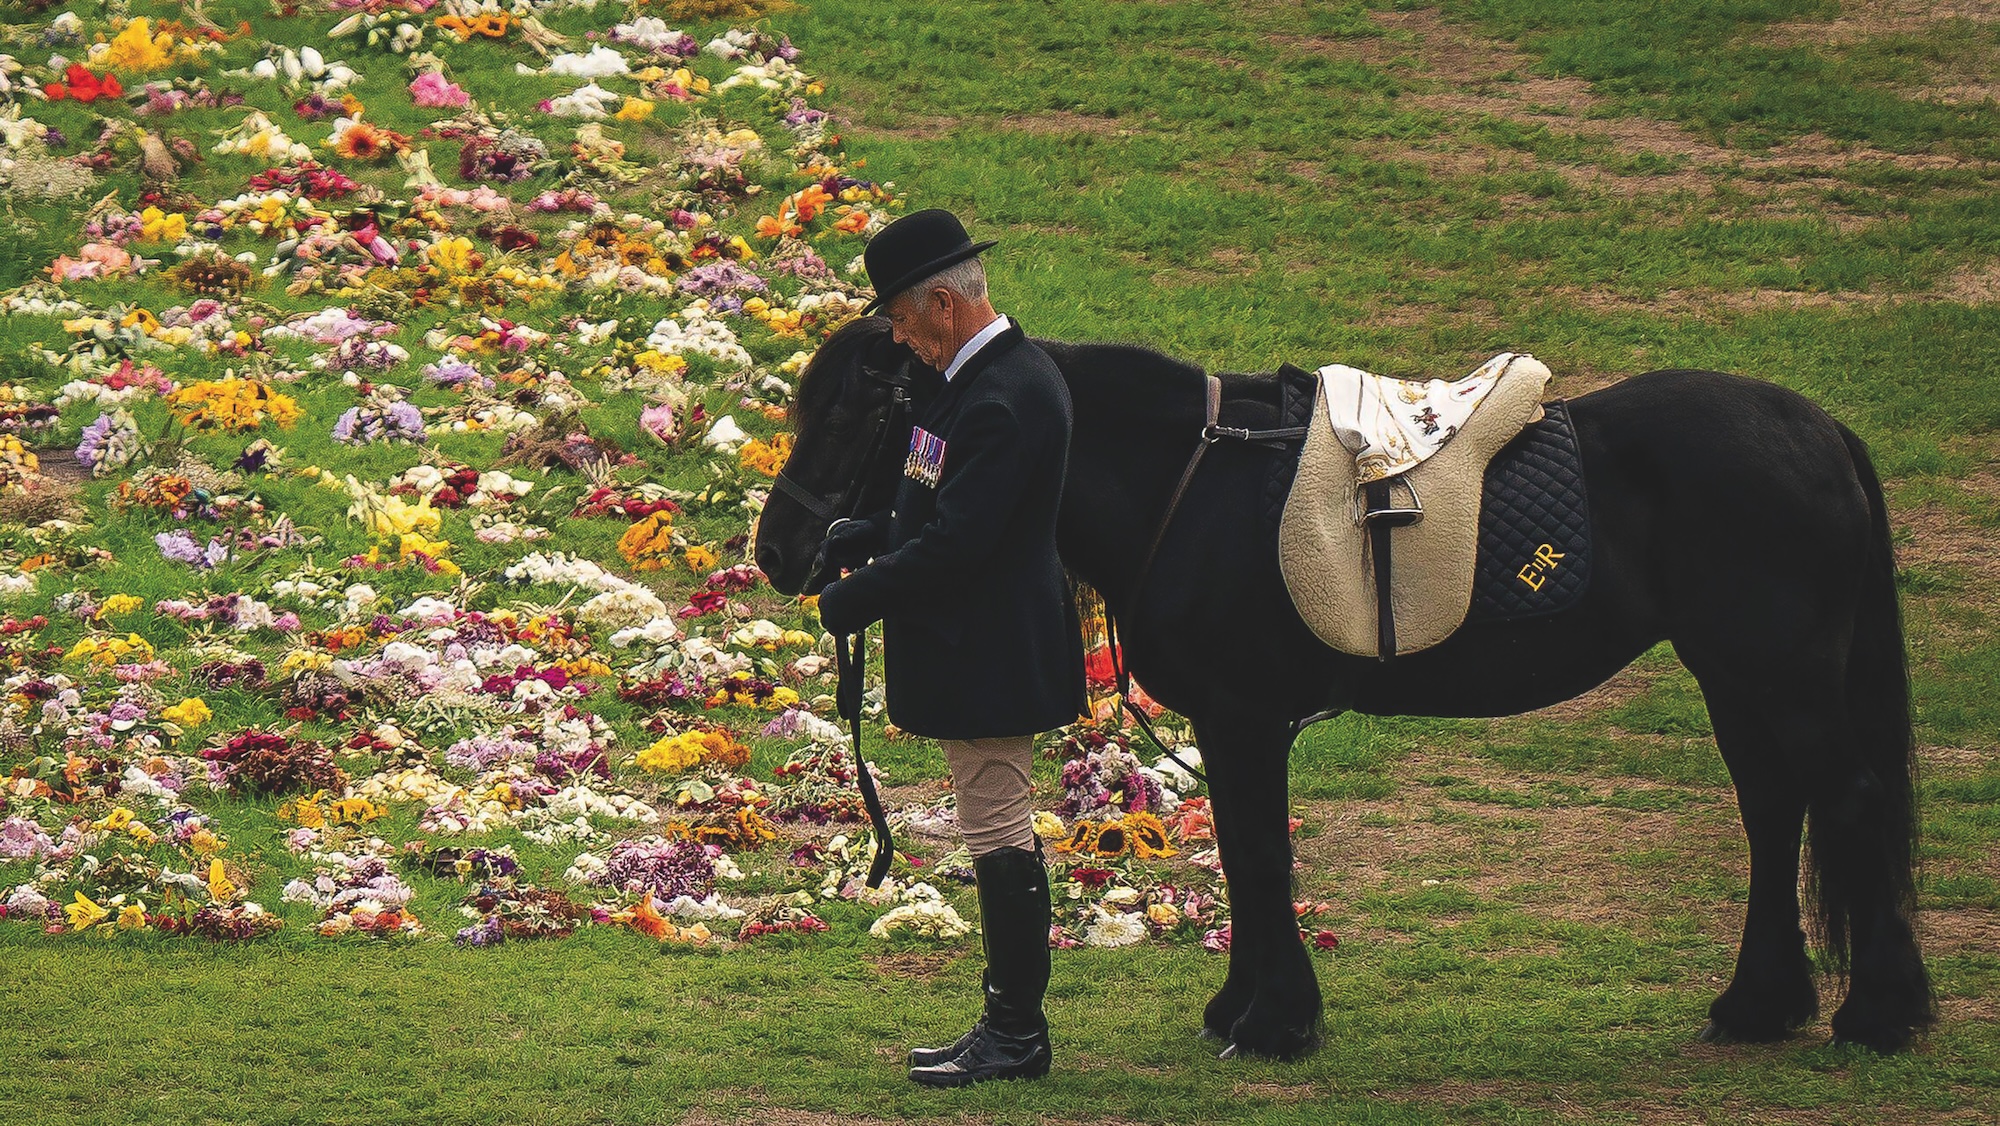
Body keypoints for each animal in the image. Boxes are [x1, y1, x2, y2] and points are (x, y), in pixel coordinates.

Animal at [753, 316, 1934, 1058]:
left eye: (854, 416)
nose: (780, 552)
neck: (1190, 481)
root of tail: (1817, 430)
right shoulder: (1230, 721)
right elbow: (1245, 854)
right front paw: (1243, 1010)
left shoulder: (1242, 717)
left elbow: (1257, 854)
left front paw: (1273, 1023)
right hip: (1737, 676)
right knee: (1775, 809)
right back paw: (1760, 1003)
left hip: (1776, 675)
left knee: (1846, 801)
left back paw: (1878, 1013)